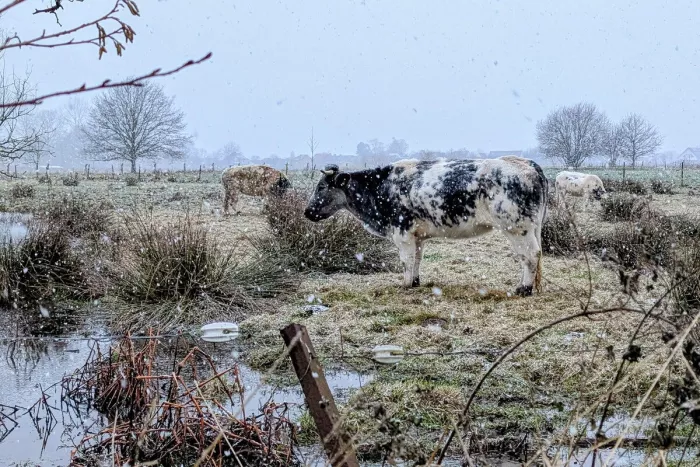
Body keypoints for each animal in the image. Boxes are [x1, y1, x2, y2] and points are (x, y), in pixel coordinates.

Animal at [303, 157, 548, 296]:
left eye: (322, 187)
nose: (307, 212)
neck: (381, 188)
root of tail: (526, 163)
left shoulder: (402, 233)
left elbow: (406, 260)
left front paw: (404, 285)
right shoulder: (418, 236)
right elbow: (417, 259)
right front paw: (415, 282)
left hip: (517, 228)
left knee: (530, 255)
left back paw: (523, 289)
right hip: (529, 228)